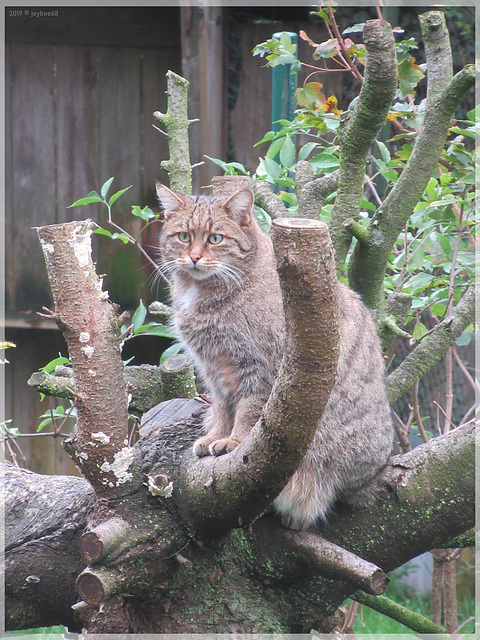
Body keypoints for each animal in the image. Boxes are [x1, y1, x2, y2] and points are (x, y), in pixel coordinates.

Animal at [158, 181, 394, 528]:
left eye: (216, 238)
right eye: (184, 236)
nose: (194, 257)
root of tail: (376, 472)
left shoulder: (258, 366)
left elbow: (248, 410)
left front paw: (234, 442)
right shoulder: (213, 369)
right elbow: (222, 408)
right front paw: (215, 435)